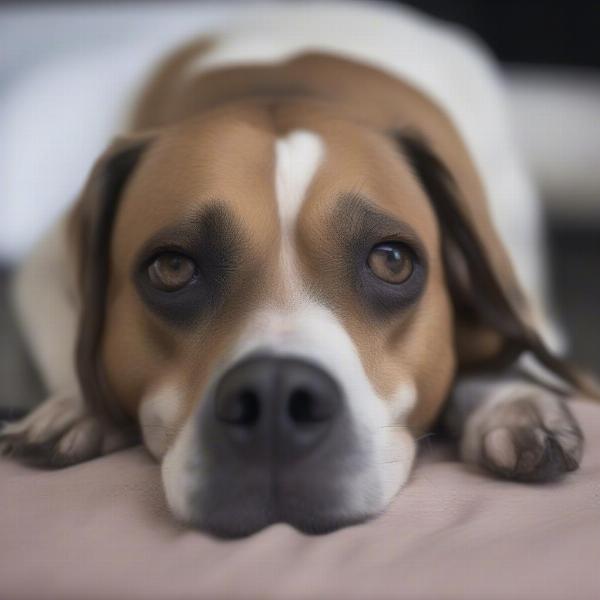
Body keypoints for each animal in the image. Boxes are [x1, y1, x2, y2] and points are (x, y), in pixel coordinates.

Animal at [0, 2, 592, 536]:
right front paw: (75, 406)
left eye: (392, 260)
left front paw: (510, 401)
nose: (276, 398)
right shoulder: (44, 264)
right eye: (171, 267)